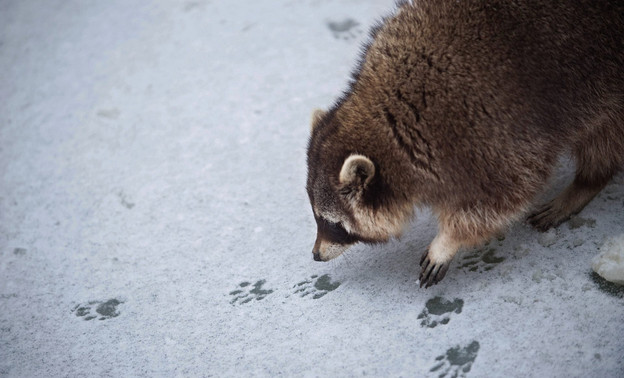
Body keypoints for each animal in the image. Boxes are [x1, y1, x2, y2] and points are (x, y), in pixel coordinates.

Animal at [308, 0, 624, 286]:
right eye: (317, 217)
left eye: (333, 224)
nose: (315, 255)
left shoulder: (492, 133)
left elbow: (502, 198)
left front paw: (447, 241)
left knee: (604, 135)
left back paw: (587, 183)